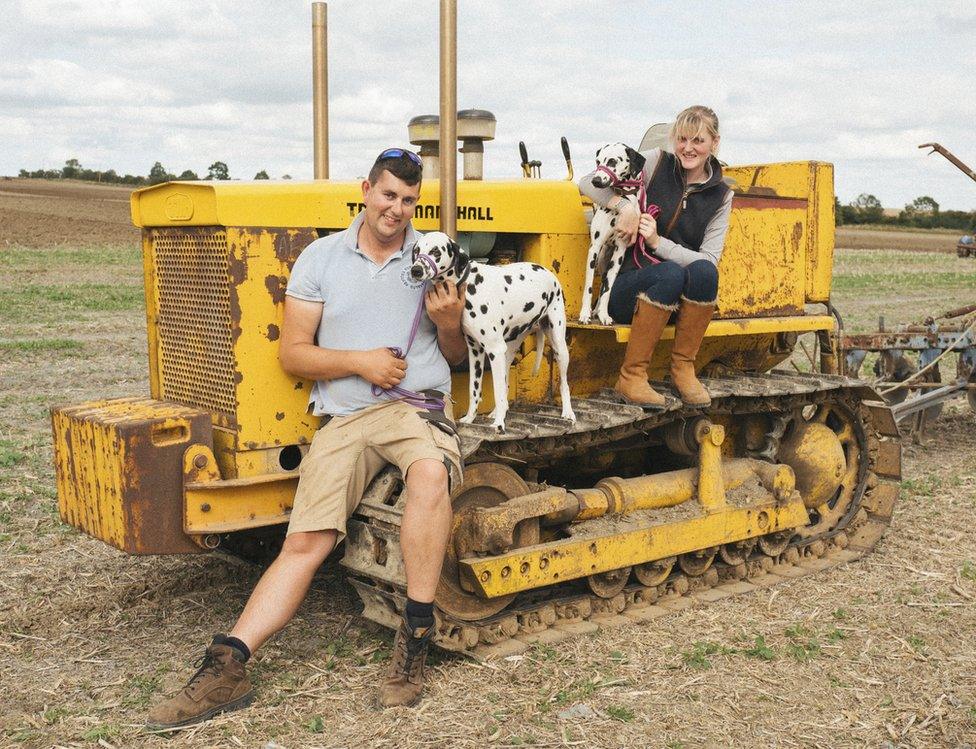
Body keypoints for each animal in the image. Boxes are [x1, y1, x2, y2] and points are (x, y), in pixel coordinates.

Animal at [408, 232, 576, 432]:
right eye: (417, 250)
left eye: (435, 251)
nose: (416, 270)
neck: (468, 284)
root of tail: (546, 271)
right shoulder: (475, 352)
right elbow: (475, 390)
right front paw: (470, 418)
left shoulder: (493, 350)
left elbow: (497, 391)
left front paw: (499, 424)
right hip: (507, 353)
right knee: (505, 384)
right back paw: (497, 412)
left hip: (558, 348)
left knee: (564, 383)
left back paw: (568, 413)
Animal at [580, 143, 648, 324]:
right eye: (598, 161)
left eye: (612, 161)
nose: (595, 180)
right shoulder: (594, 249)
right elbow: (589, 286)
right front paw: (584, 314)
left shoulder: (619, 253)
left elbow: (608, 289)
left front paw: (604, 314)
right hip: (601, 258)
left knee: (604, 284)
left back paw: (597, 311)